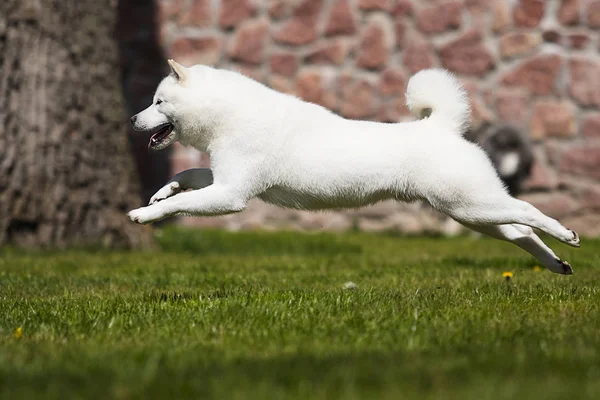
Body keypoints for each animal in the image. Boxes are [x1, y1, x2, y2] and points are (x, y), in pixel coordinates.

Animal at [127, 60, 580, 276]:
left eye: (158, 102)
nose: (132, 120)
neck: (228, 115)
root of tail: (441, 126)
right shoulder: (224, 180)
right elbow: (186, 178)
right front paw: (161, 193)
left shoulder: (231, 195)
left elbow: (179, 206)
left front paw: (145, 215)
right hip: (471, 212)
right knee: (519, 232)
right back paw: (555, 263)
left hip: (471, 205)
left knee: (527, 211)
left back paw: (567, 235)